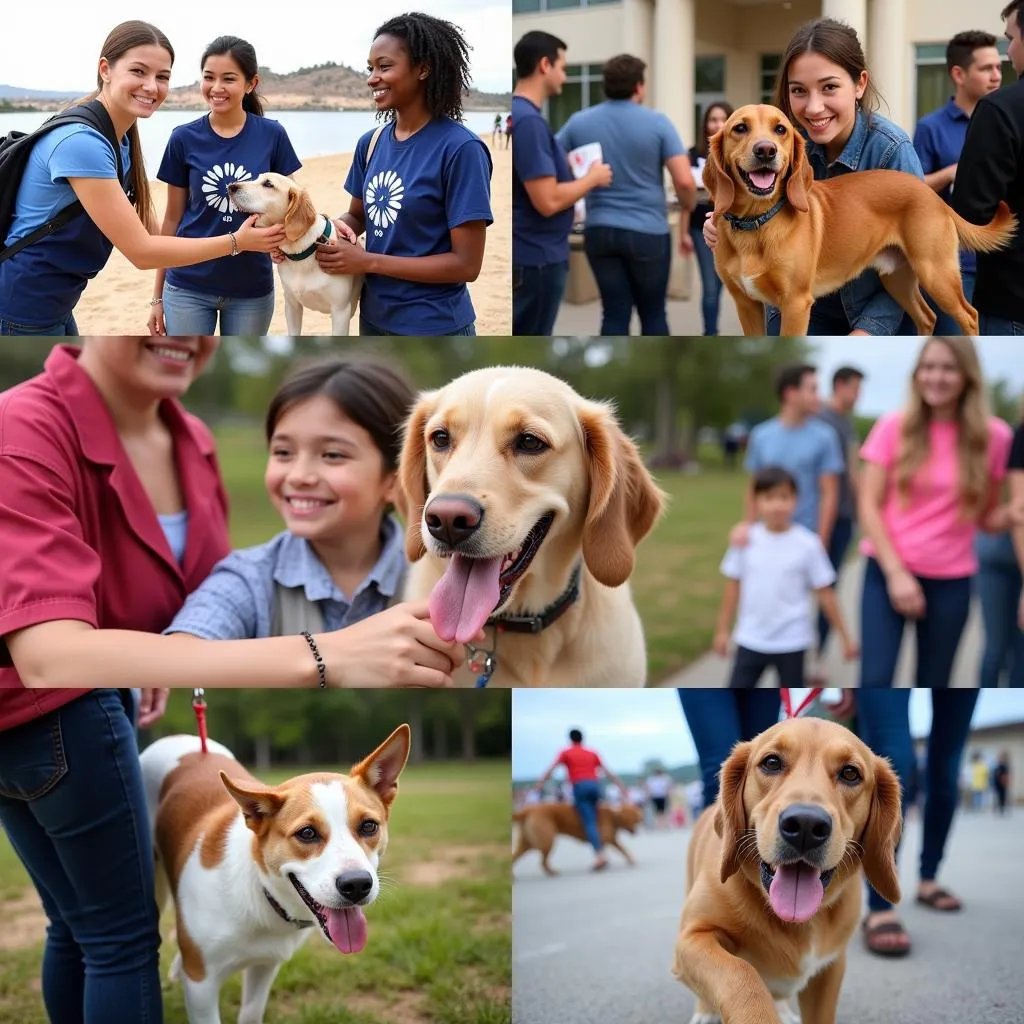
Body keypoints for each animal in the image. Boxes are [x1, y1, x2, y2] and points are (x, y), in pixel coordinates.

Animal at [141, 724, 411, 1024]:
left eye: (368, 826)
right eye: (307, 833)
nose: (357, 885)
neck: (260, 894)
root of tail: (176, 737)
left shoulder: (265, 965)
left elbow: (250, 1013)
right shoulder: (202, 986)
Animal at [671, 716, 905, 1024]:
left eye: (850, 773)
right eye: (772, 762)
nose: (806, 825)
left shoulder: (830, 968)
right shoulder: (692, 938)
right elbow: (740, 973)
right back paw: (706, 1011)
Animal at [704, 103, 1015, 335]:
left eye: (780, 129)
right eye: (740, 128)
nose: (766, 150)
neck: (756, 223)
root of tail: (932, 194)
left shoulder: (795, 304)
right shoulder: (746, 304)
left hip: (936, 273)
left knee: (970, 315)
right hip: (898, 278)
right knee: (927, 317)